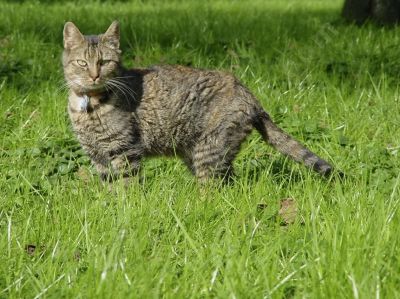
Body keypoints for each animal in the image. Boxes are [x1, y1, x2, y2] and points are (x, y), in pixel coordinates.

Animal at [62, 21, 334, 183]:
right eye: (82, 63)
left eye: (104, 62)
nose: (94, 75)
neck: (89, 106)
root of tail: (248, 92)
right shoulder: (97, 155)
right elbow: (109, 187)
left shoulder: (125, 150)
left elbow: (127, 187)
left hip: (210, 150)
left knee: (213, 189)